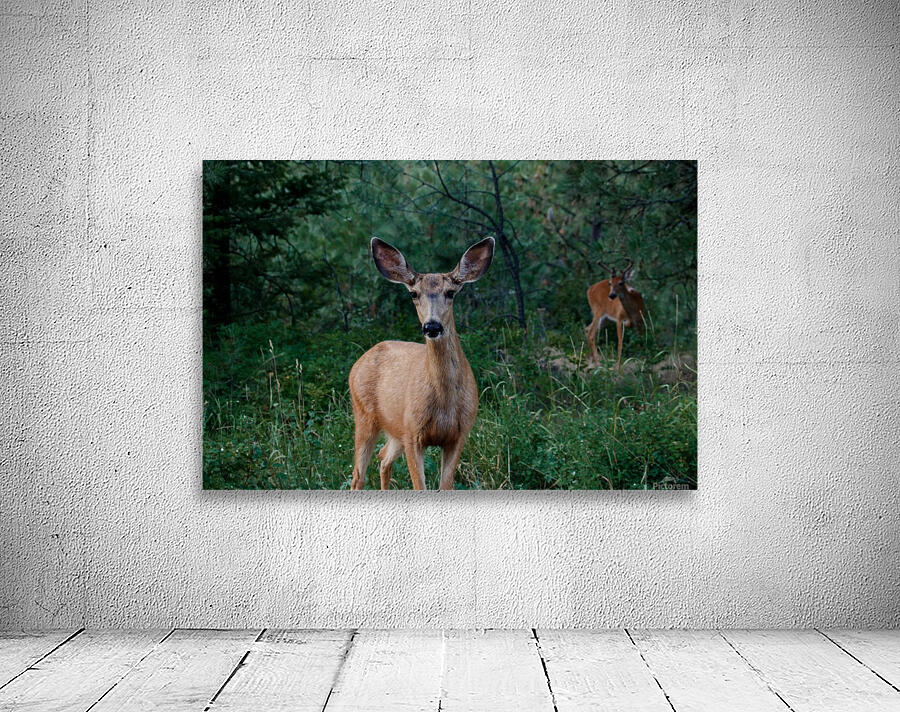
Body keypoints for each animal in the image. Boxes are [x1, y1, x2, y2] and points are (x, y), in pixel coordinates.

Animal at [348, 236, 494, 490]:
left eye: (450, 292)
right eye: (413, 294)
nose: (432, 326)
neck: (444, 403)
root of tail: (360, 361)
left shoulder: (459, 434)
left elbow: (445, 487)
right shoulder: (413, 433)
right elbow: (420, 487)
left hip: (396, 429)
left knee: (383, 457)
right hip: (365, 415)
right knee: (358, 475)